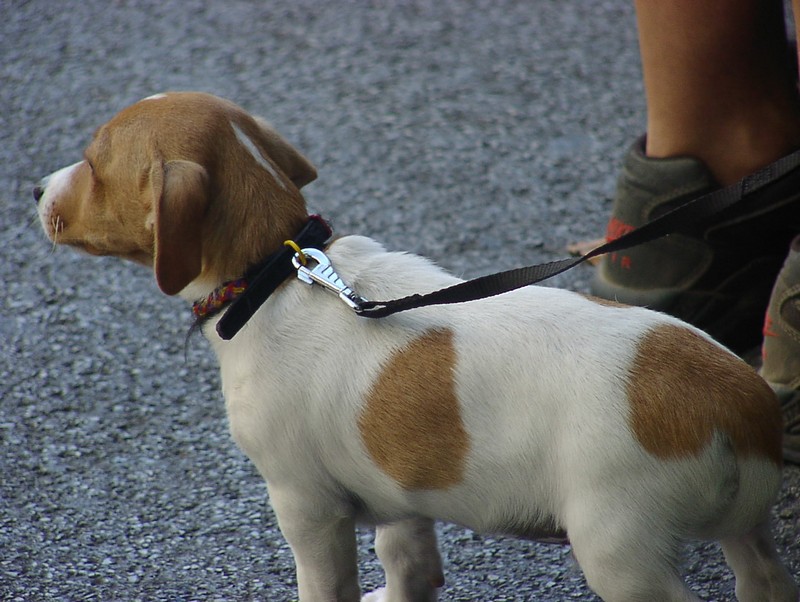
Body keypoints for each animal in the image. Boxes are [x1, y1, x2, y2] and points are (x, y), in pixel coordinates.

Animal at [34, 91, 796, 596]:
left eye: (93, 164)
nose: (35, 186)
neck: (275, 273)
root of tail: (740, 402)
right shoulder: (396, 490)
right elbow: (410, 564)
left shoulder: (304, 504)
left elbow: (326, 584)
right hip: (743, 533)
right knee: (764, 577)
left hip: (620, 549)